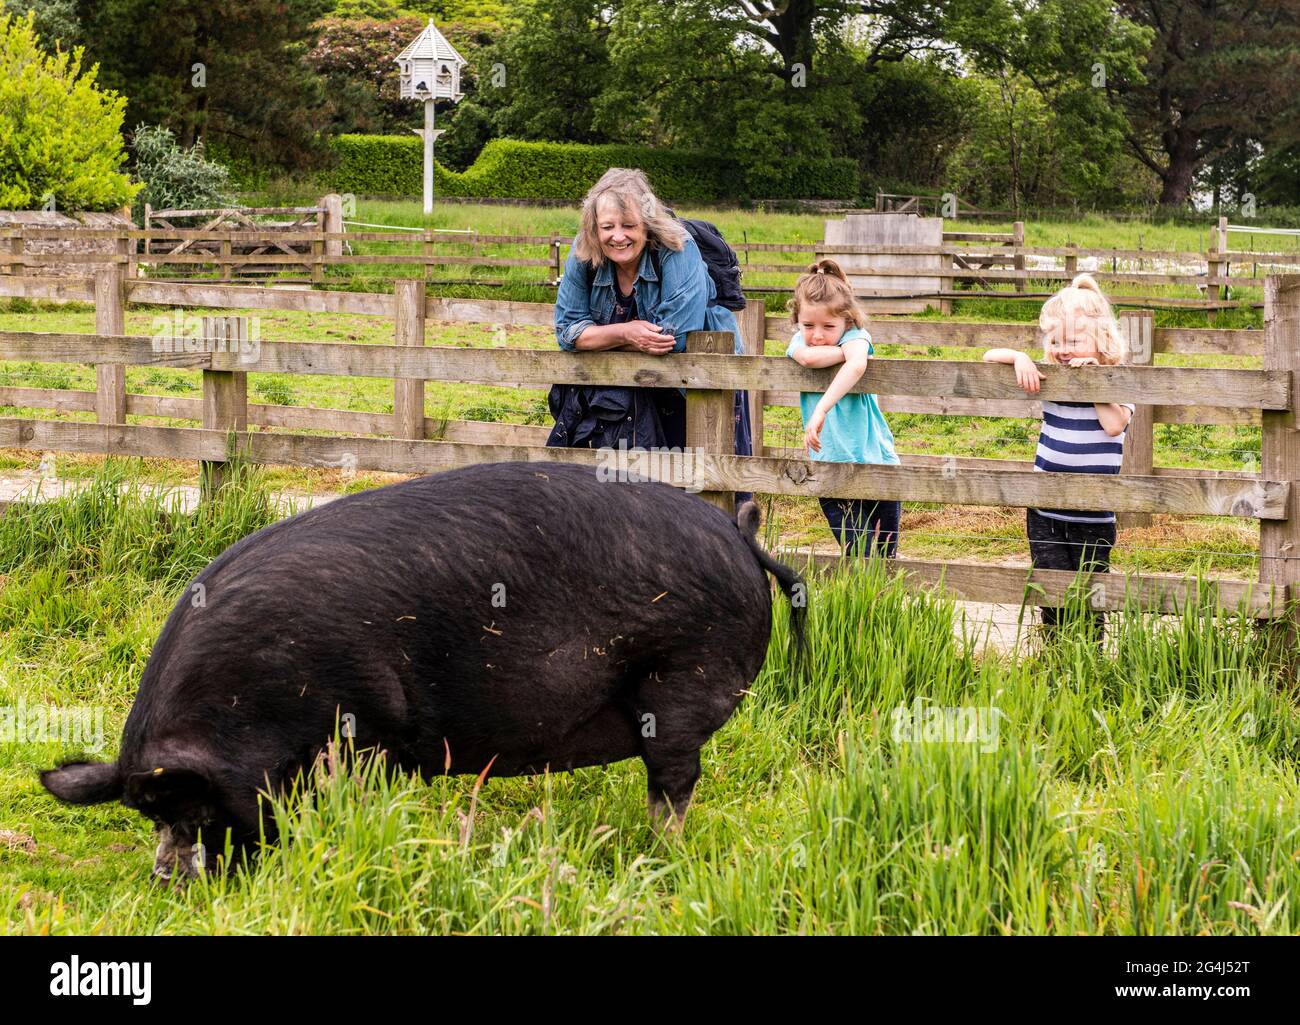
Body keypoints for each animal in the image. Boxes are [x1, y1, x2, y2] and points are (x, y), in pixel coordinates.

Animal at [40, 460, 800, 879]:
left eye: (192, 807)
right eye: (147, 814)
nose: (165, 882)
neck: (251, 706)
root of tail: (740, 536)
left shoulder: (370, 722)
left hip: (682, 679)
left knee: (674, 782)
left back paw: (654, 854)